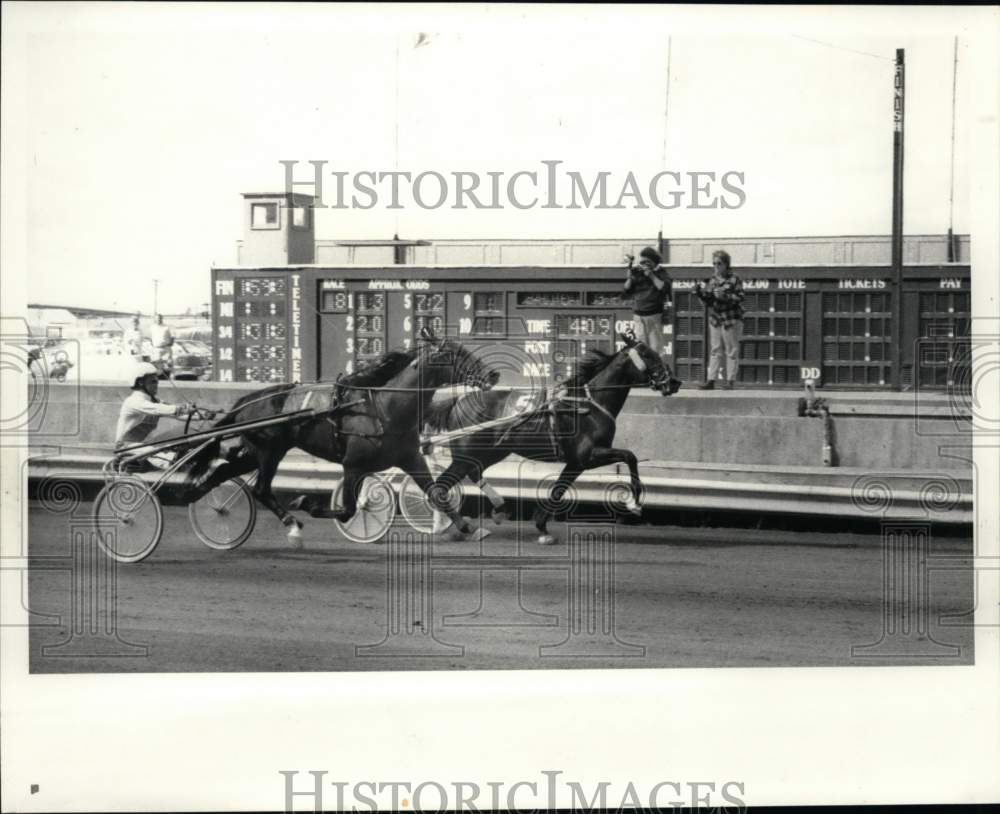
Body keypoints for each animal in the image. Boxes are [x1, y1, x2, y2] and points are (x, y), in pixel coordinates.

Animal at [181, 328, 500, 544]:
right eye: (454, 354)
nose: (493, 374)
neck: (385, 409)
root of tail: (248, 401)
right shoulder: (353, 466)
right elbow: (347, 509)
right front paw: (306, 503)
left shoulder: (410, 458)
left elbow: (437, 493)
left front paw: (470, 527)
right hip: (269, 451)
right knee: (260, 489)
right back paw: (291, 523)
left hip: (255, 452)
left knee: (222, 473)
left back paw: (206, 502)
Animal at [418, 332, 684, 548]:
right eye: (647, 354)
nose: (674, 381)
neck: (589, 405)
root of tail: (457, 401)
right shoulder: (588, 455)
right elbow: (630, 456)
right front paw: (634, 503)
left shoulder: (576, 462)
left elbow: (558, 490)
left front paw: (542, 527)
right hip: (467, 454)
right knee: (440, 486)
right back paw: (461, 527)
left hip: (492, 451)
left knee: (472, 473)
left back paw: (498, 510)